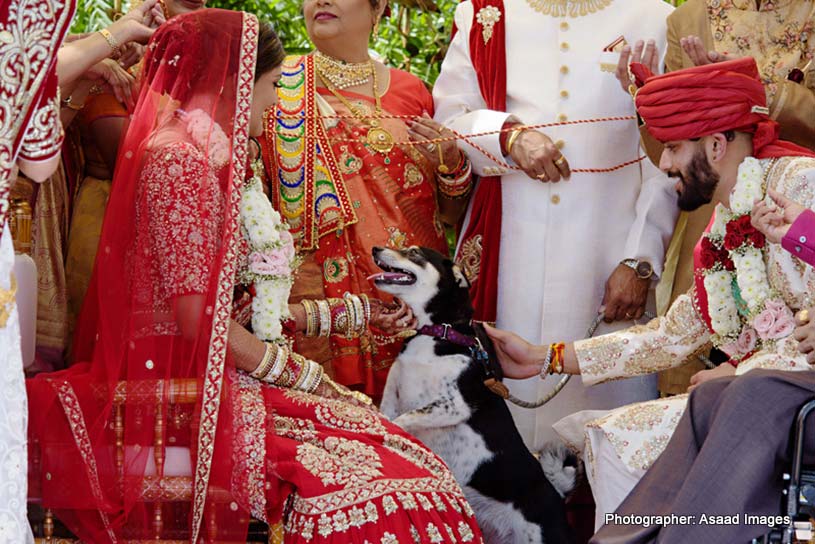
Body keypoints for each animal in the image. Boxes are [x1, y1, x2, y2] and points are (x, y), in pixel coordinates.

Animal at [372, 248, 576, 544]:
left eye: (415, 253)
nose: (375, 249)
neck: (437, 334)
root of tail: (558, 495)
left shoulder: (456, 406)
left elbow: (405, 419)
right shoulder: (391, 395)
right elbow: (388, 415)